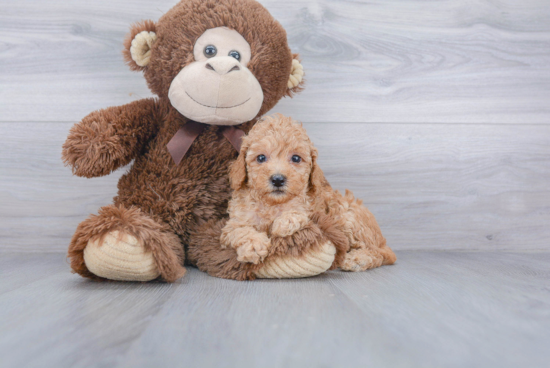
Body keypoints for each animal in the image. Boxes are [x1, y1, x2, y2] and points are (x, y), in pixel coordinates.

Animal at [222, 115, 398, 274]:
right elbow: (240, 230)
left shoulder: (315, 211)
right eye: (260, 157)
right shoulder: (233, 223)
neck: (273, 203)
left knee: (381, 253)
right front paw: (254, 246)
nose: (278, 179)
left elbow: (298, 213)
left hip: (347, 215)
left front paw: (282, 223)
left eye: (295, 158)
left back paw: (357, 259)